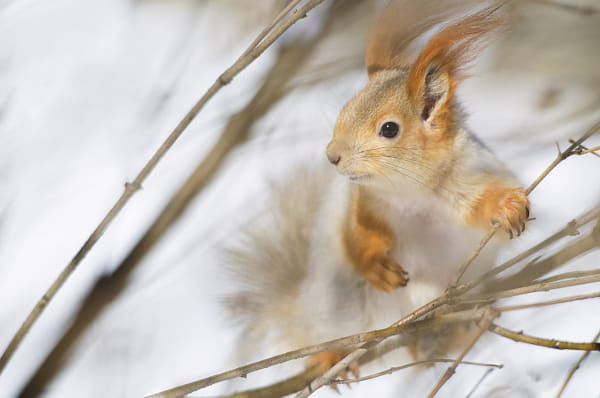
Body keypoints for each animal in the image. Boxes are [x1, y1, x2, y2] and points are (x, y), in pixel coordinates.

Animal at [226, 0, 528, 380]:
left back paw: (442, 337)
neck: (414, 193)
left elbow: (492, 212)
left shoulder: (473, 178)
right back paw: (331, 356)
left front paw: (509, 207)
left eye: (389, 129)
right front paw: (376, 267)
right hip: (337, 306)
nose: (332, 155)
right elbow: (354, 237)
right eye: (344, 109)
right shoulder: (363, 206)